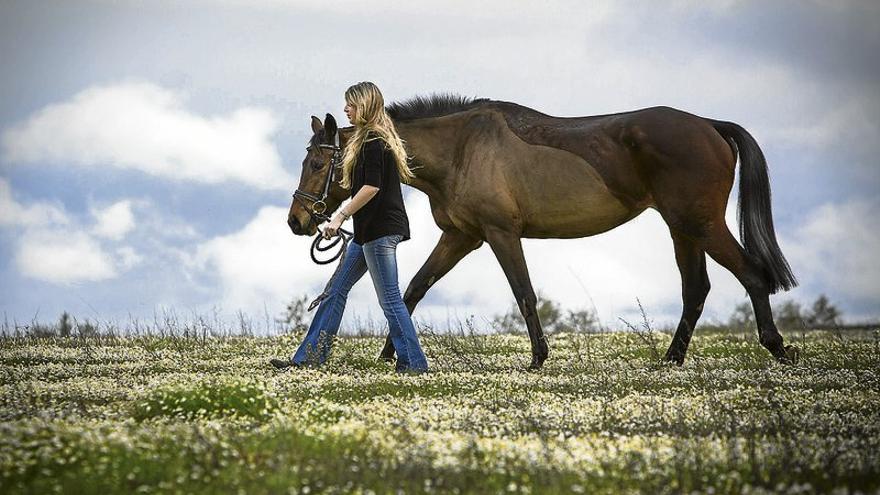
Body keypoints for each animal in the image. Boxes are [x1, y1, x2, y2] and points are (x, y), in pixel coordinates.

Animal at [288, 95, 796, 370]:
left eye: (317, 163)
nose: (298, 221)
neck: (462, 149)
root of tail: (709, 126)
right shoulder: (461, 237)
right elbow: (413, 288)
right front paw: (390, 355)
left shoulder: (499, 234)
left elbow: (524, 293)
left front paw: (537, 358)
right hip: (683, 230)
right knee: (697, 289)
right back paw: (671, 360)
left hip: (700, 224)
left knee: (751, 275)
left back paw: (777, 348)